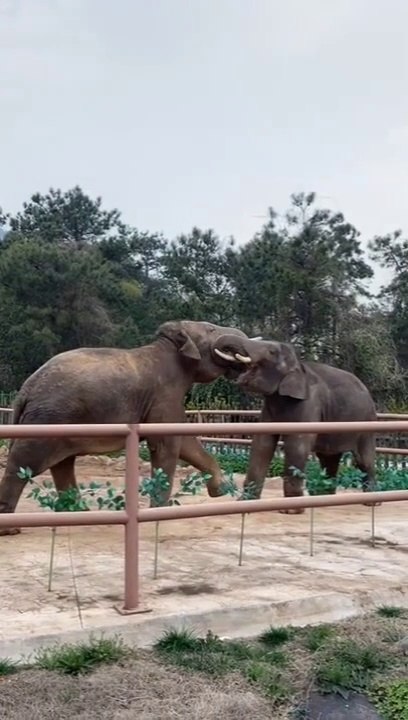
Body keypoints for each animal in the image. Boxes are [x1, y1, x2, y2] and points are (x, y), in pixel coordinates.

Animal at [0, 320, 250, 534]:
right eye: (211, 329)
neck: (167, 346)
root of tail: (26, 389)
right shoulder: (164, 393)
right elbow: (166, 443)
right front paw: (160, 512)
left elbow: (186, 443)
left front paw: (220, 491)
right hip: (49, 417)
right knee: (25, 462)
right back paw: (11, 529)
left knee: (62, 464)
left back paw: (79, 512)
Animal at [213, 336, 377, 513]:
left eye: (272, 351)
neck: (298, 366)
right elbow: (262, 444)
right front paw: (245, 503)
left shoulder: (310, 403)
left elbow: (296, 445)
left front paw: (290, 510)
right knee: (328, 458)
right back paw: (322, 498)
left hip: (366, 422)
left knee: (363, 460)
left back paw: (371, 502)